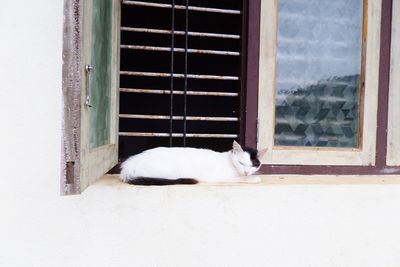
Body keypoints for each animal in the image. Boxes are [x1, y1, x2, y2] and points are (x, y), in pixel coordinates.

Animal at [120, 140, 268, 186]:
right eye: (241, 163)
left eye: (253, 165)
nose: (246, 172)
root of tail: (128, 166)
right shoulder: (220, 177)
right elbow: (240, 178)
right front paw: (253, 178)